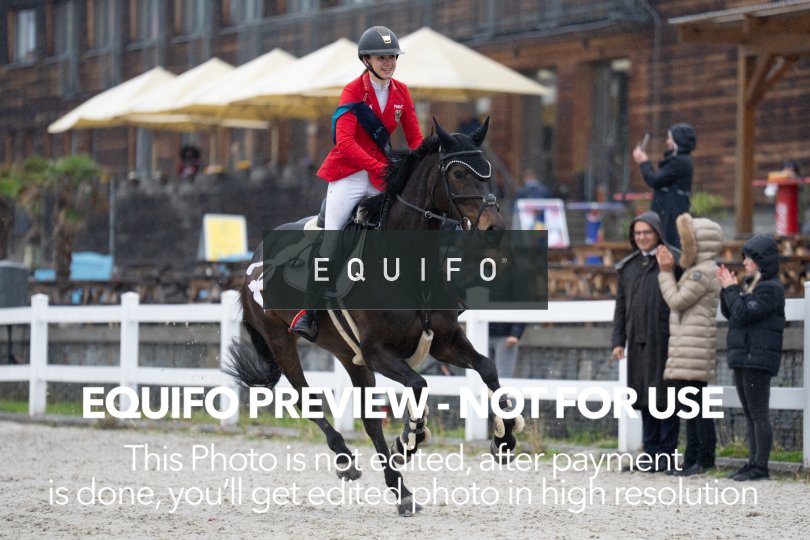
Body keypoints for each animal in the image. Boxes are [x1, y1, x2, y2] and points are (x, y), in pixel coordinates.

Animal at [225, 118, 525, 517]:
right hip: (282, 342)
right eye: (459, 173)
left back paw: (401, 490)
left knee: (369, 422)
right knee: (308, 399)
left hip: (348, 355)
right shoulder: (380, 352)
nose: (494, 228)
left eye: (488, 171)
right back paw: (347, 459)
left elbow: (489, 369)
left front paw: (504, 439)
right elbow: (419, 385)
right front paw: (411, 437)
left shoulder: (445, 342)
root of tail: (252, 263)